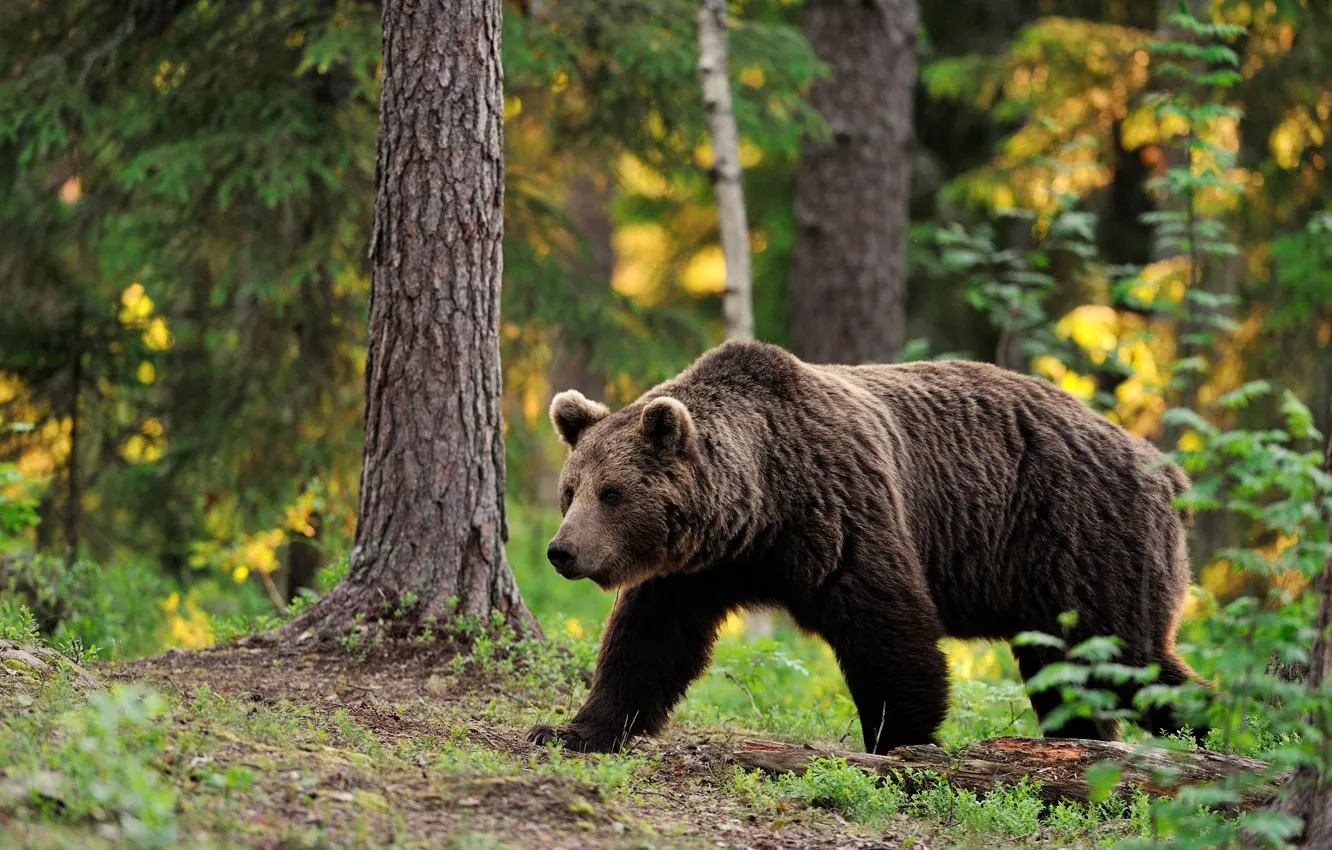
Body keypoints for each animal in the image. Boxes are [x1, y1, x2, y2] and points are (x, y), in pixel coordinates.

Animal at [526, 340, 1208, 754]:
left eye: (612, 493)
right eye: (571, 490)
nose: (563, 551)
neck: (759, 508)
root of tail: (1164, 467)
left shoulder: (840, 513)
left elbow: (889, 631)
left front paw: (899, 740)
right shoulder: (694, 570)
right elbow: (647, 645)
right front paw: (570, 730)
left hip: (1079, 539)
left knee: (1122, 657)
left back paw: (1205, 729)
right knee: (1074, 674)